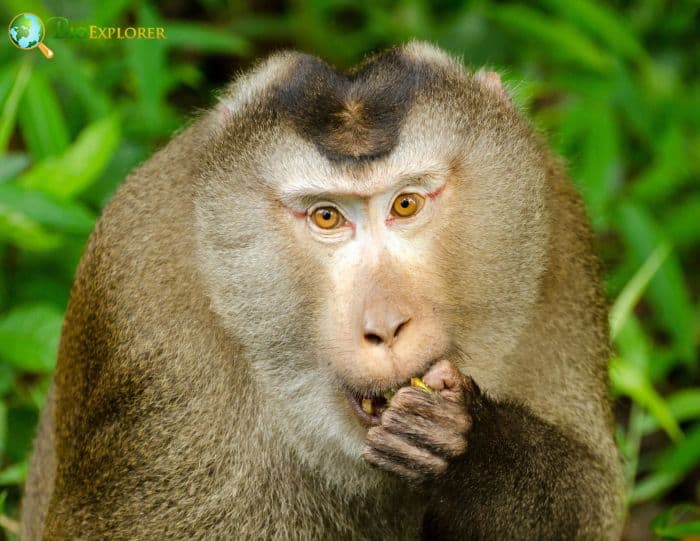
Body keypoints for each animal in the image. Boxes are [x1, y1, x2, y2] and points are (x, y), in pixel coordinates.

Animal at [20, 43, 624, 540]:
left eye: (406, 203)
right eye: (327, 216)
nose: (386, 326)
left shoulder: (555, 224)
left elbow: (593, 499)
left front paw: (467, 444)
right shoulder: (148, 319)